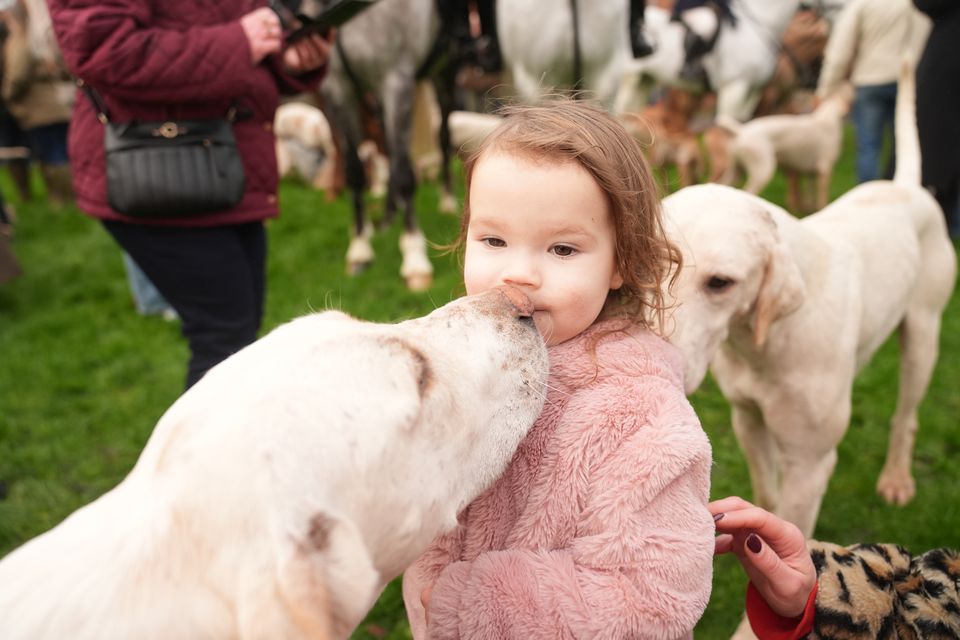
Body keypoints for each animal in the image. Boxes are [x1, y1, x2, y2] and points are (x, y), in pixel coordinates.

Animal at [664, 62, 956, 536]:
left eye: (720, 283)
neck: (762, 343)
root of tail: (908, 187)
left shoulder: (810, 464)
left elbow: (794, 527)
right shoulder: (748, 421)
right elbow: (766, 498)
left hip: (924, 336)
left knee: (906, 417)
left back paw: (896, 476)